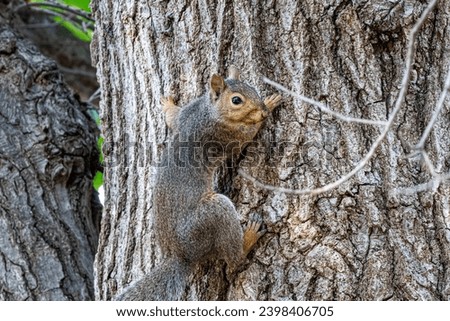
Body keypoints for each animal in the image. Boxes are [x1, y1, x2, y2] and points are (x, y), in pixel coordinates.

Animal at [114, 65, 282, 300]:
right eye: (236, 100)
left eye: (252, 88)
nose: (263, 111)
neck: (208, 111)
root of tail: (182, 254)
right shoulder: (224, 135)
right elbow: (248, 135)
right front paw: (270, 105)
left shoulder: (186, 114)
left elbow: (173, 118)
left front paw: (166, 104)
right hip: (211, 215)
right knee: (234, 261)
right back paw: (248, 239)